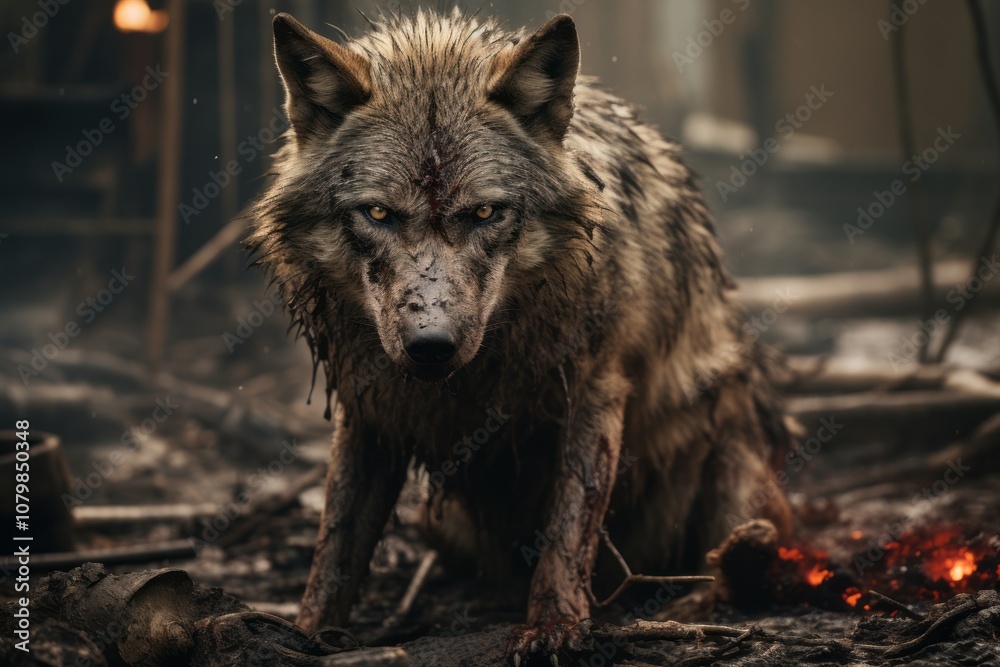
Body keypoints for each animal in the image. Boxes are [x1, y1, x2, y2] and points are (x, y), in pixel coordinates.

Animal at [247, 7, 794, 662]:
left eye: (486, 213)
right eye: (378, 214)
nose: (431, 344)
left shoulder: (597, 389)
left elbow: (569, 521)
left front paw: (553, 626)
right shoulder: (368, 408)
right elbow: (335, 547)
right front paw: (305, 634)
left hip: (735, 460)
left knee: (751, 559)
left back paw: (694, 599)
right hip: (436, 520)